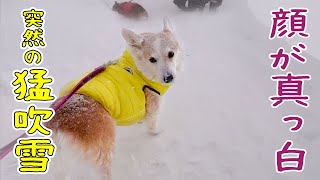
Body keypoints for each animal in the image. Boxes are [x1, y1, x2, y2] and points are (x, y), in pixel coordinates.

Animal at [46, 18, 184, 180]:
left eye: (171, 54)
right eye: (152, 59)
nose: (168, 78)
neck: (139, 69)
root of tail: (57, 119)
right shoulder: (153, 107)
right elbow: (152, 125)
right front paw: (157, 134)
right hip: (103, 147)